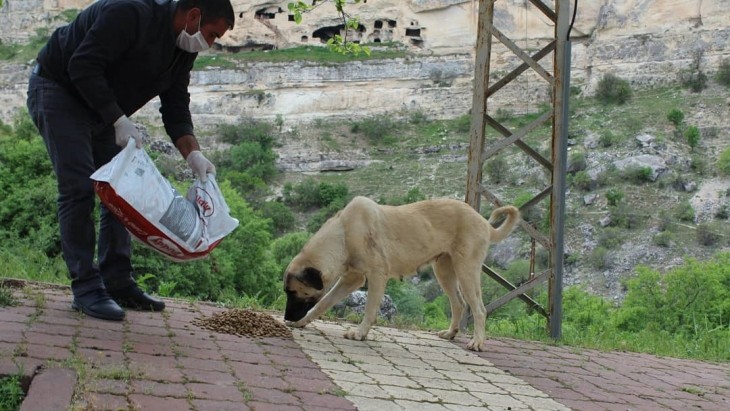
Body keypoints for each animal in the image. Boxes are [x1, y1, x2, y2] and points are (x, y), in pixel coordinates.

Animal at [282, 196, 520, 350]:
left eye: (294, 293)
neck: (344, 233)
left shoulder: (377, 275)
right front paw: (303, 322)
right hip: (444, 271)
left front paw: (360, 333)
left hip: (467, 271)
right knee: (459, 304)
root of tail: (483, 221)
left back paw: (477, 342)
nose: (286, 318)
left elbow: (369, 309)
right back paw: (451, 333)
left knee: (479, 309)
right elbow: (324, 302)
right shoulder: (352, 278)